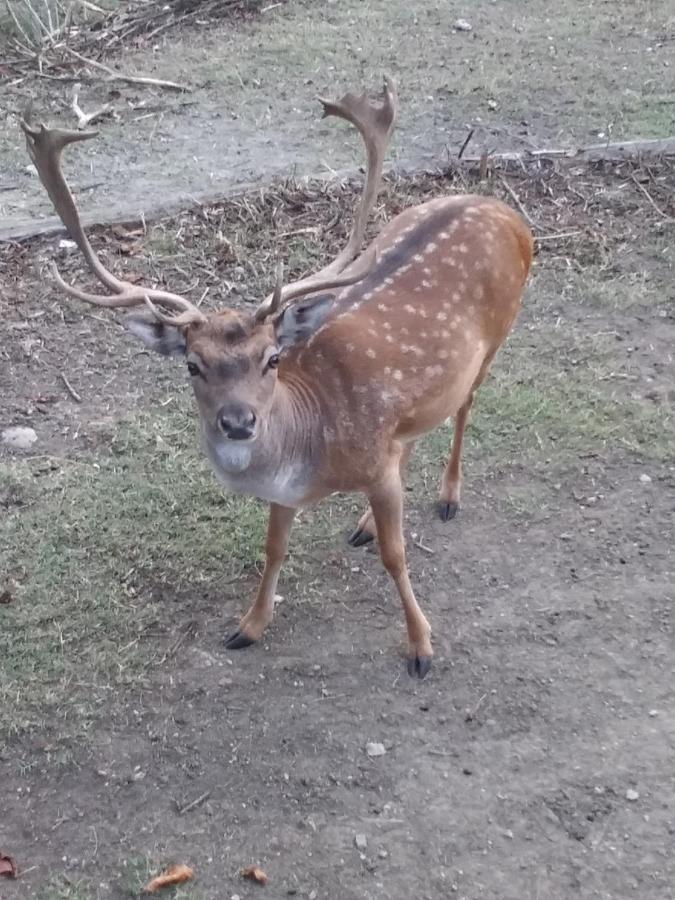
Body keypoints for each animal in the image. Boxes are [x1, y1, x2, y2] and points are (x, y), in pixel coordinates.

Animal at [21, 77, 532, 680]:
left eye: (271, 359)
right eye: (192, 364)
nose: (239, 421)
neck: (311, 444)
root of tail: (507, 212)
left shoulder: (373, 465)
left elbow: (396, 555)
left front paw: (420, 646)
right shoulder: (291, 490)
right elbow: (274, 549)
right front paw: (248, 627)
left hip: (498, 335)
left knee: (465, 405)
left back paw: (448, 496)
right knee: (416, 430)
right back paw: (366, 521)